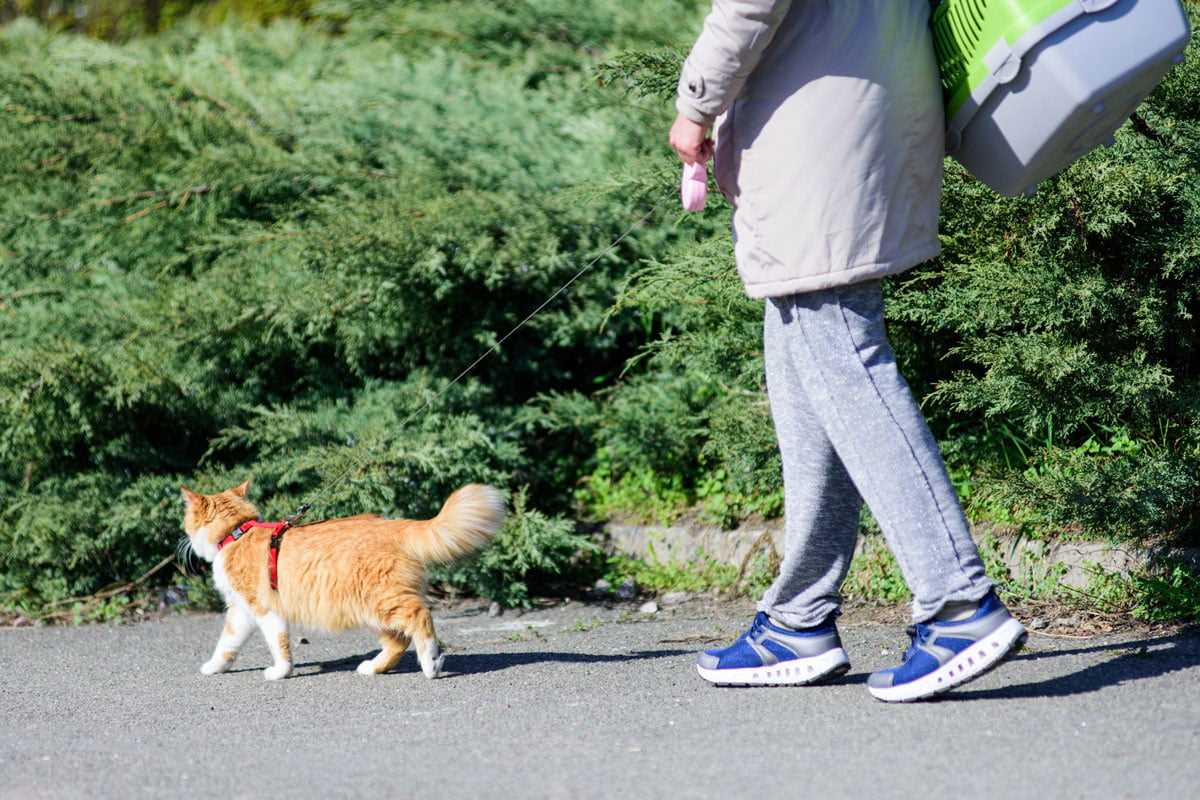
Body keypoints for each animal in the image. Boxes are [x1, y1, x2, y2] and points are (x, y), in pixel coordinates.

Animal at [180, 482, 504, 681]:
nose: (184, 540)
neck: (238, 533)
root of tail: (394, 524)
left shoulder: (265, 609)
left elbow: (279, 646)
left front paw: (280, 672)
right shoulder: (241, 611)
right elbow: (227, 643)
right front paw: (215, 667)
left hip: (382, 602)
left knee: (421, 618)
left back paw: (431, 663)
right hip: (372, 611)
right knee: (398, 641)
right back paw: (373, 668)